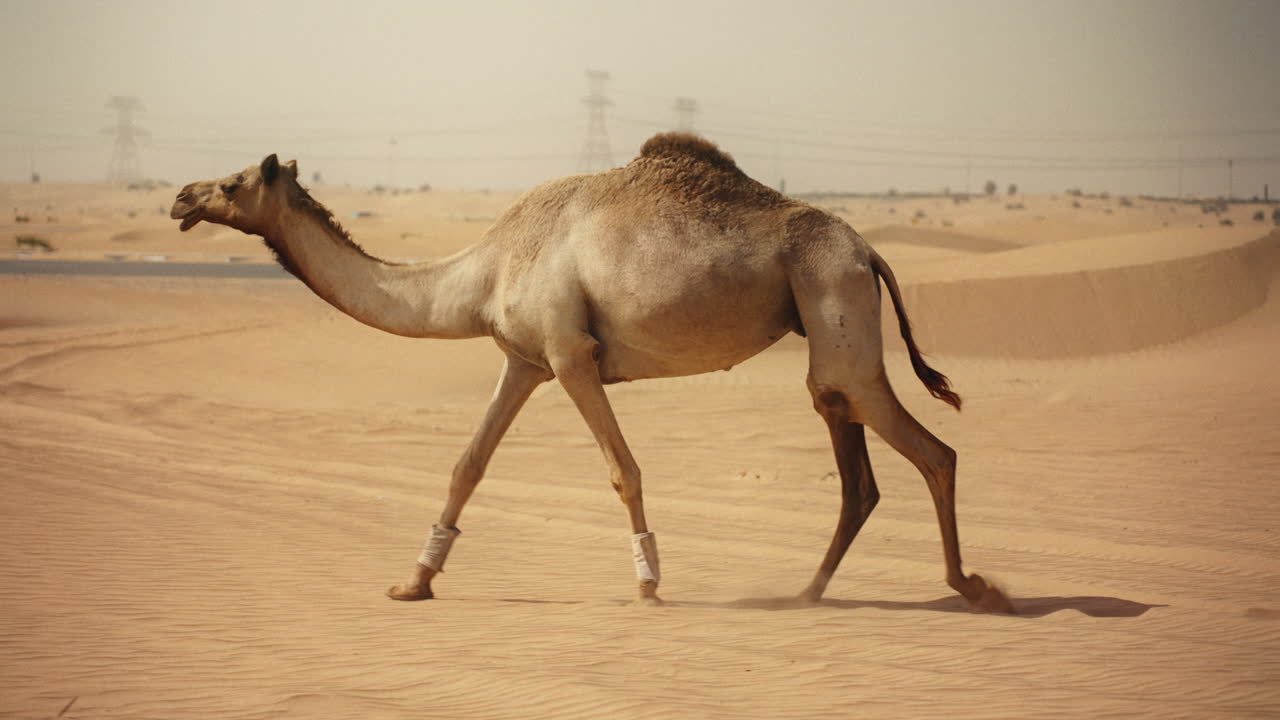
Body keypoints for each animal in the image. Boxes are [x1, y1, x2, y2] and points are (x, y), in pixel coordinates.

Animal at [170, 133, 1013, 612]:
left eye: (234, 182)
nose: (180, 196)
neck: (484, 269)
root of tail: (869, 250)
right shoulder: (522, 360)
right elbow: (466, 464)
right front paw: (414, 582)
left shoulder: (572, 356)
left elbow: (621, 468)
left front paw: (648, 582)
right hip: (829, 334)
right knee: (857, 470)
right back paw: (807, 593)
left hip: (837, 307)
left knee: (933, 450)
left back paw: (971, 587)